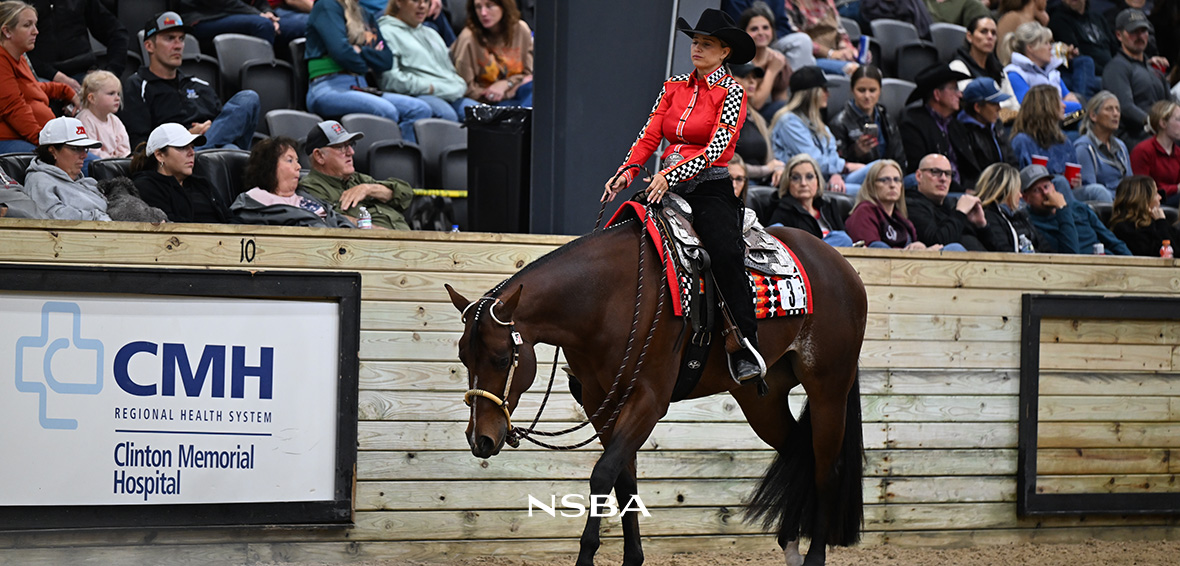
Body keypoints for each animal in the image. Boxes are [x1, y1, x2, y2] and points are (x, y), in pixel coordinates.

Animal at [445, 215, 867, 566]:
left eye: (501, 358)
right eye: (464, 357)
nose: (480, 439)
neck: (605, 297)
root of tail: (842, 267)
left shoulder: (648, 400)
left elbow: (603, 475)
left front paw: (587, 556)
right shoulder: (602, 402)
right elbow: (623, 480)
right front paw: (633, 558)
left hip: (829, 389)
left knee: (826, 466)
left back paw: (814, 556)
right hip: (762, 401)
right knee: (800, 452)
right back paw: (791, 545)